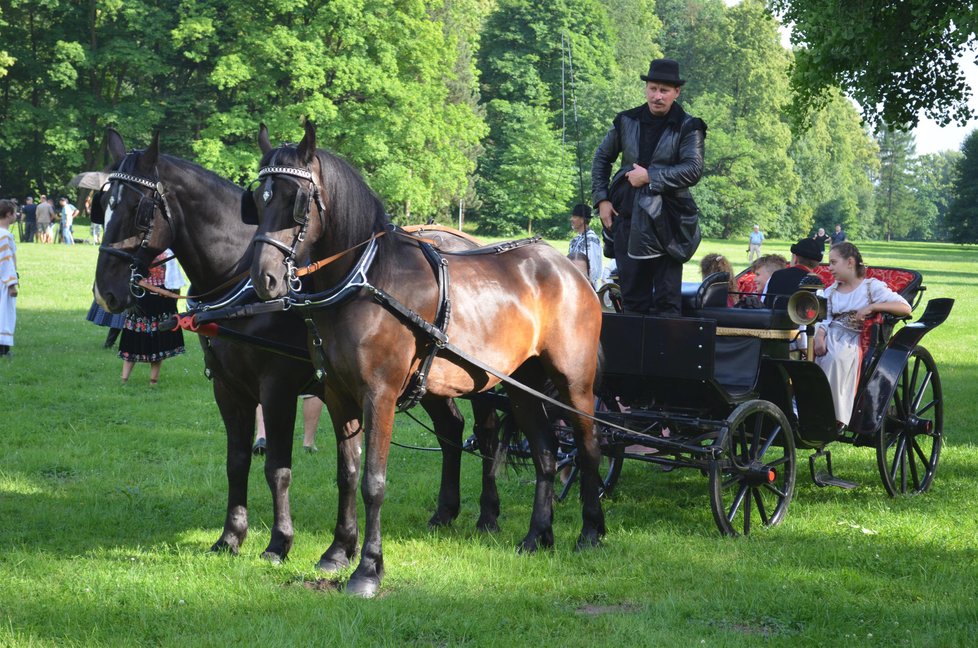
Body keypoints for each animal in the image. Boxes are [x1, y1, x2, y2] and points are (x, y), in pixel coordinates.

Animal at [248, 123, 608, 596]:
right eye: (259, 199)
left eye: (297, 200)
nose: (265, 278)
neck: (365, 280)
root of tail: (570, 269)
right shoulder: (339, 395)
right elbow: (347, 473)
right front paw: (337, 552)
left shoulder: (379, 395)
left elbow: (374, 481)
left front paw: (368, 569)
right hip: (521, 386)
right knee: (546, 453)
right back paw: (537, 536)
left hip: (573, 383)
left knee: (587, 446)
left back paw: (590, 532)